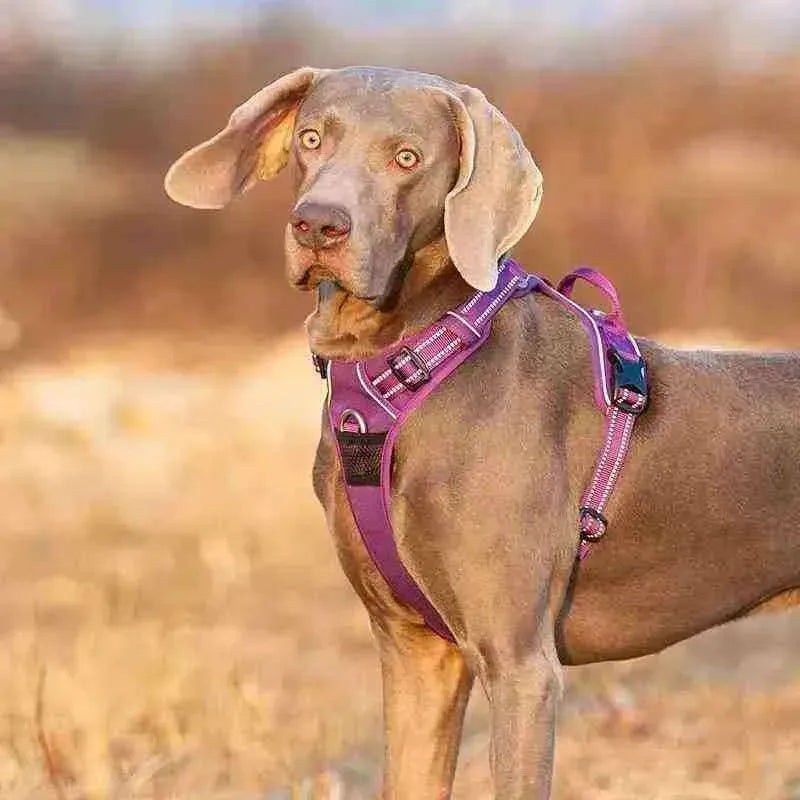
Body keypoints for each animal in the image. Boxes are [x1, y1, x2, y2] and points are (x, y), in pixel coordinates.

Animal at [164, 65, 800, 796]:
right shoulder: (416, 650)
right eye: (311, 138)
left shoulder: (520, 663)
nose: (319, 223)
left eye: (406, 157)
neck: (409, 364)